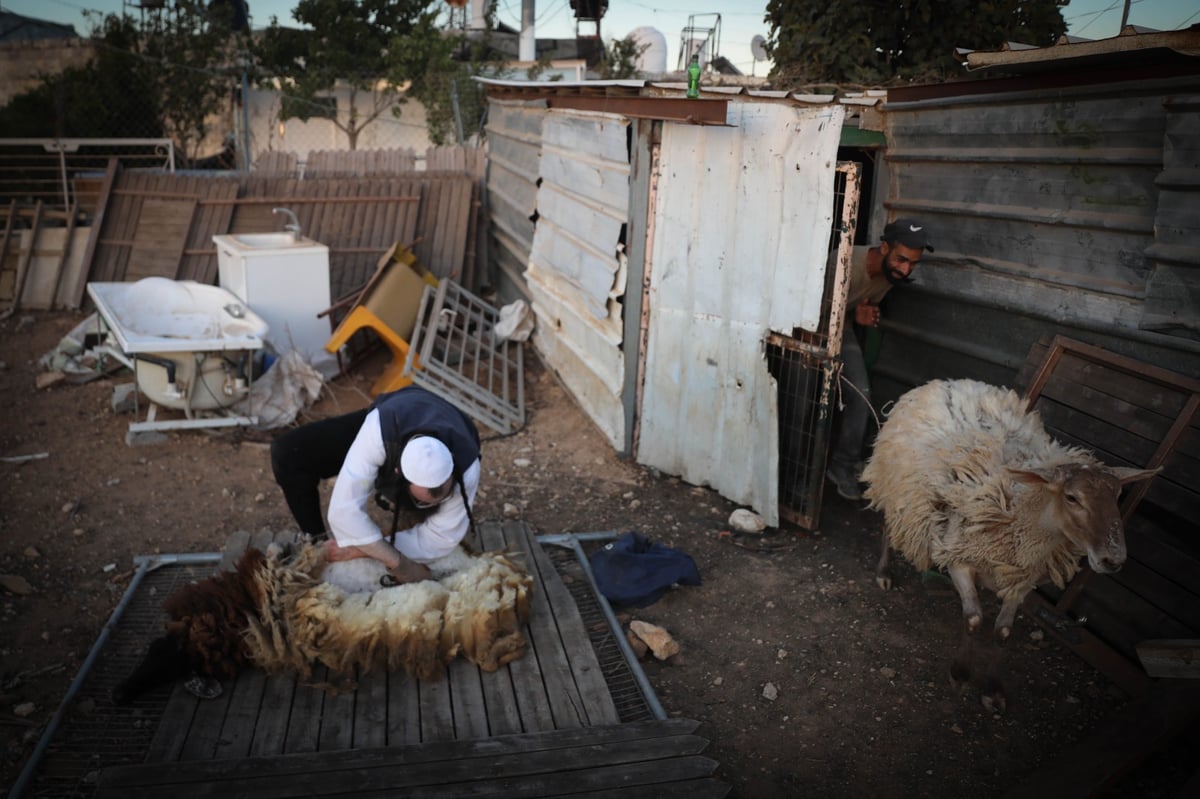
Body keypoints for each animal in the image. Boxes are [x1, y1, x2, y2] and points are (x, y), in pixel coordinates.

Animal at [859, 379, 1156, 705]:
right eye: (1072, 497)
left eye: (1117, 496)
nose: (1113, 559)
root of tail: (948, 382)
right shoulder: (961, 560)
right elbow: (974, 619)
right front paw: (960, 674)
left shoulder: (1023, 579)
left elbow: (1002, 631)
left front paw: (993, 689)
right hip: (895, 488)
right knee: (888, 527)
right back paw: (884, 573)